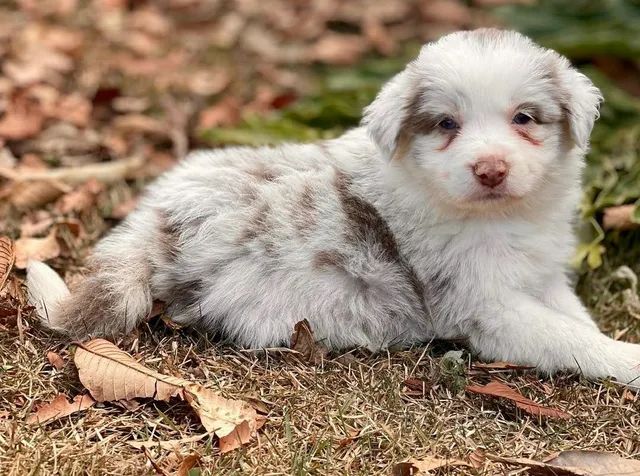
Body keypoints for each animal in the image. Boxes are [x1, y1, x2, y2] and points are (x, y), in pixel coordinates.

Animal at [27, 28, 640, 386]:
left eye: (524, 118)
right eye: (447, 124)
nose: (491, 169)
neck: (500, 216)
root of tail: (153, 222)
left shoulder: (541, 277)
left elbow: (576, 318)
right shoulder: (485, 305)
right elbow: (570, 338)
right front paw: (626, 360)